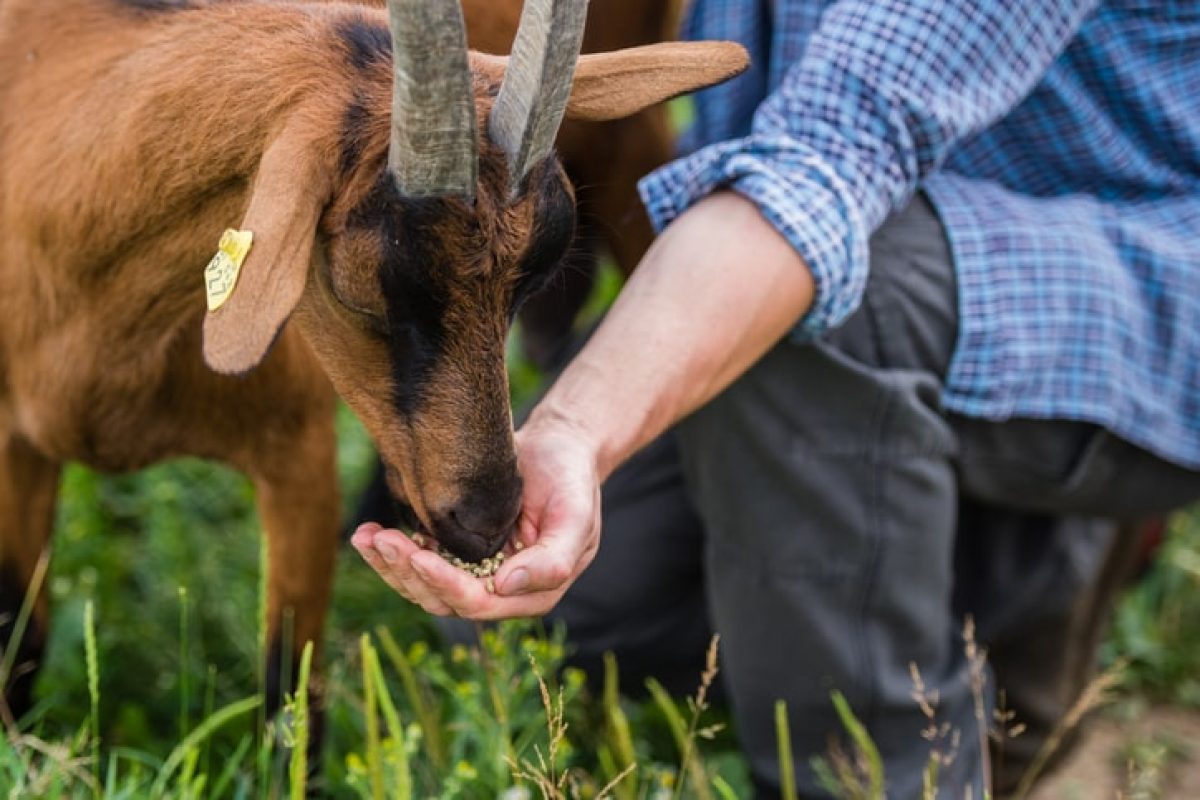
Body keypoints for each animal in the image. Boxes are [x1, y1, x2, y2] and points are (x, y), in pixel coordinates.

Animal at [0, 0, 746, 740]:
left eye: (528, 281)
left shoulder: (300, 451)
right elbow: (19, 642)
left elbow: (291, 693)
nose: (484, 525)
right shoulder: (13, 442)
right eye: (360, 293)